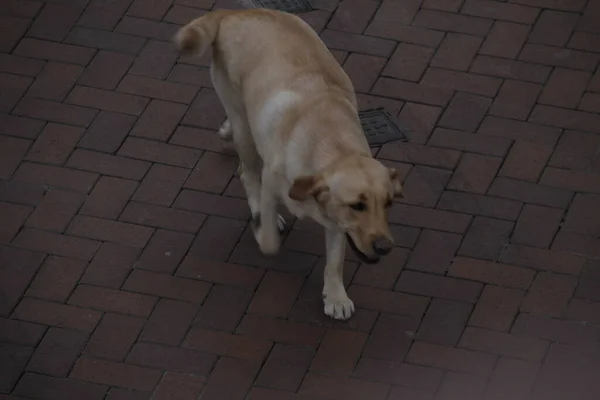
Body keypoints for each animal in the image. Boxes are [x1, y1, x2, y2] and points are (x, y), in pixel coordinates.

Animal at [175, 7, 404, 320]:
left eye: (389, 203)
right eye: (358, 205)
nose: (385, 247)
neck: (333, 142)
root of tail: (236, 11)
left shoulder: (335, 219)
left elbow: (335, 261)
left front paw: (336, 296)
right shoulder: (273, 184)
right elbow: (270, 242)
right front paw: (262, 227)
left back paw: (225, 131)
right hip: (242, 124)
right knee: (246, 172)